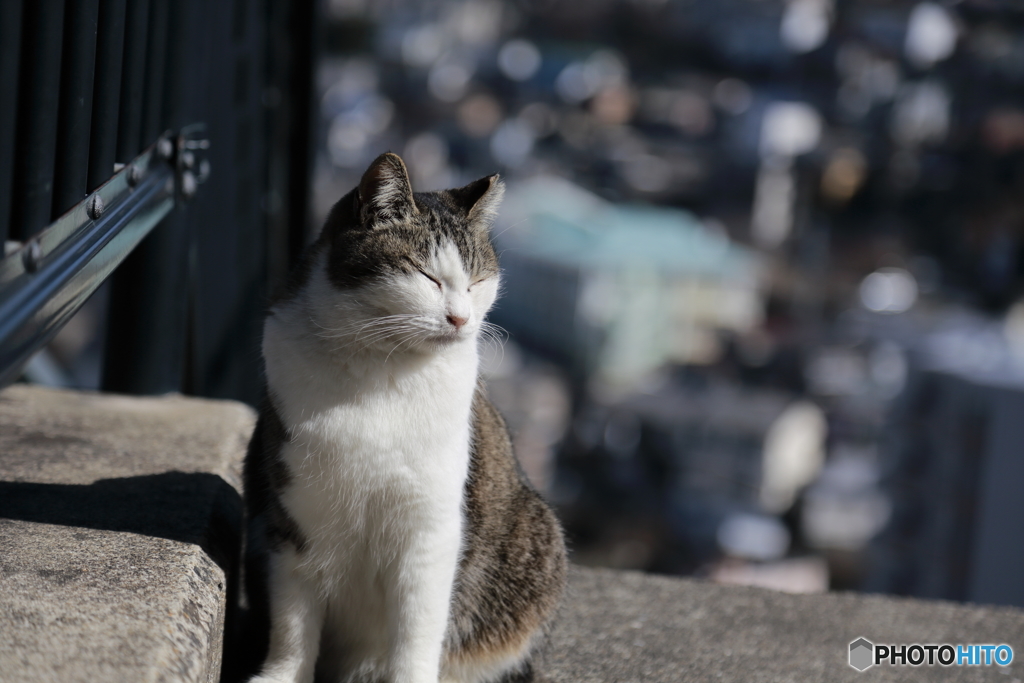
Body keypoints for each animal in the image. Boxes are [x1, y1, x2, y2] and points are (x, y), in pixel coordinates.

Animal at [244, 154, 573, 683]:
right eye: (427, 277)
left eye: (477, 282)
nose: (461, 319)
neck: (379, 369)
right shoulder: (295, 516)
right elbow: (293, 622)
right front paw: (280, 675)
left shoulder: (430, 527)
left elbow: (418, 626)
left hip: (536, 541)